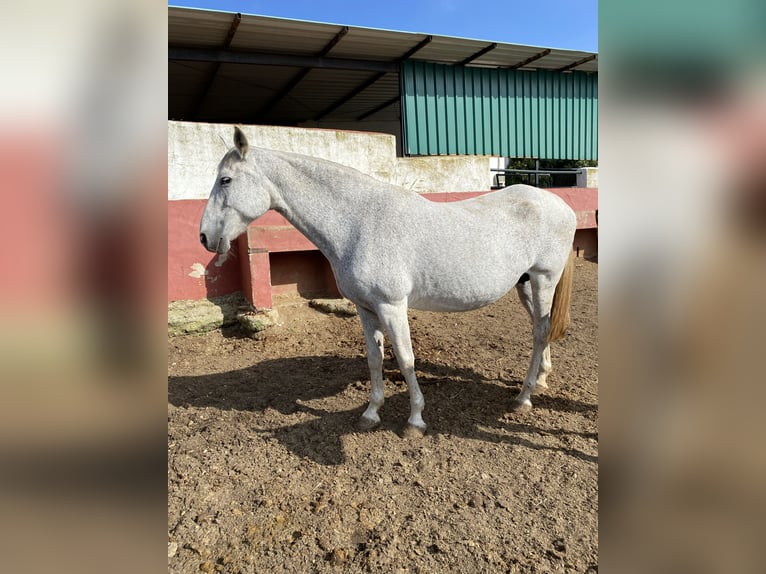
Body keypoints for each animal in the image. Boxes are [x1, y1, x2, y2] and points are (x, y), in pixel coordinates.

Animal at [200, 128, 576, 438]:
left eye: (226, 180)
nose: (205, 237)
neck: (359, 223)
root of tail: (562, 205)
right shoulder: (366, 309)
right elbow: (374, 359)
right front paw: (370, 414)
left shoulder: (392, 306)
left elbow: (406, 359)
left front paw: (415, 421)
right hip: (525, 284)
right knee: (539, 329)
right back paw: (540, 380)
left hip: (543, 280)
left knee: (540, 331)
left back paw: (523, 399)